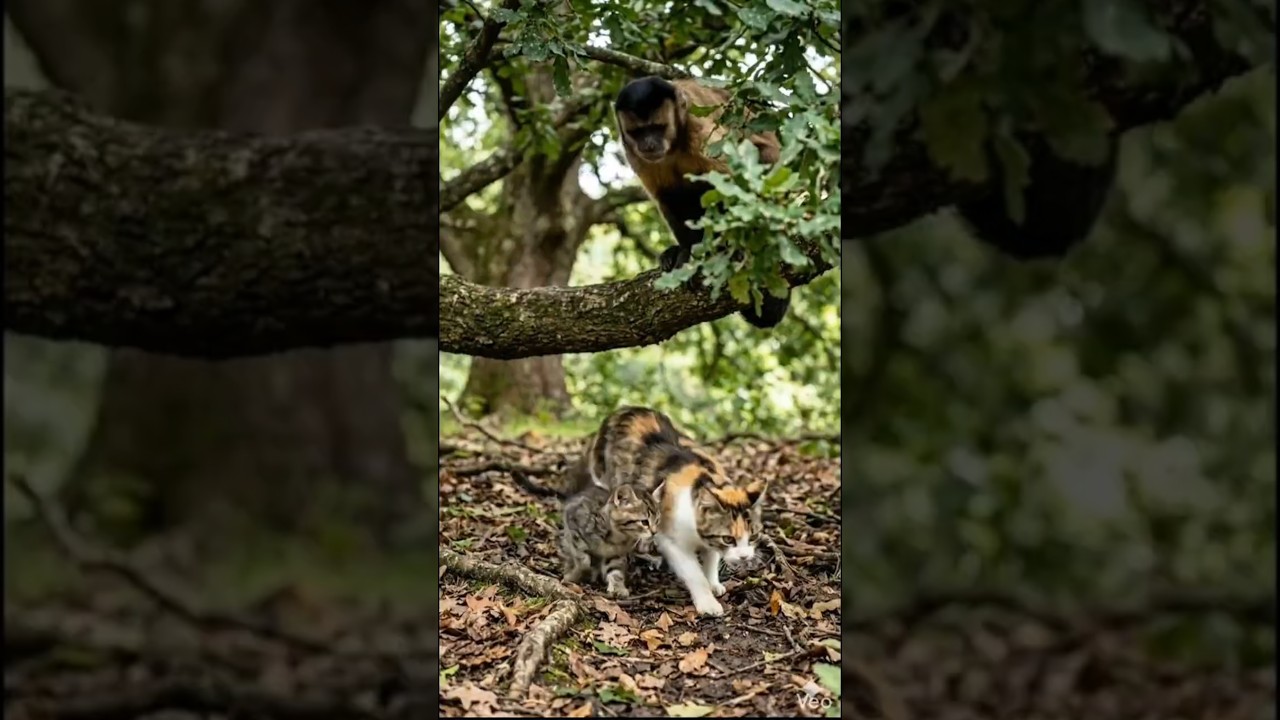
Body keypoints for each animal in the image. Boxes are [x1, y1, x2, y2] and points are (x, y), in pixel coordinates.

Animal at [614, 75, 790, 329]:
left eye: (658, 128)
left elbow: (729, 180)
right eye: (638, 132)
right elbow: (666, 196)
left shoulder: (699, 129)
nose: (648, 145)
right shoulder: (633, 153)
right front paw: (686, 250)